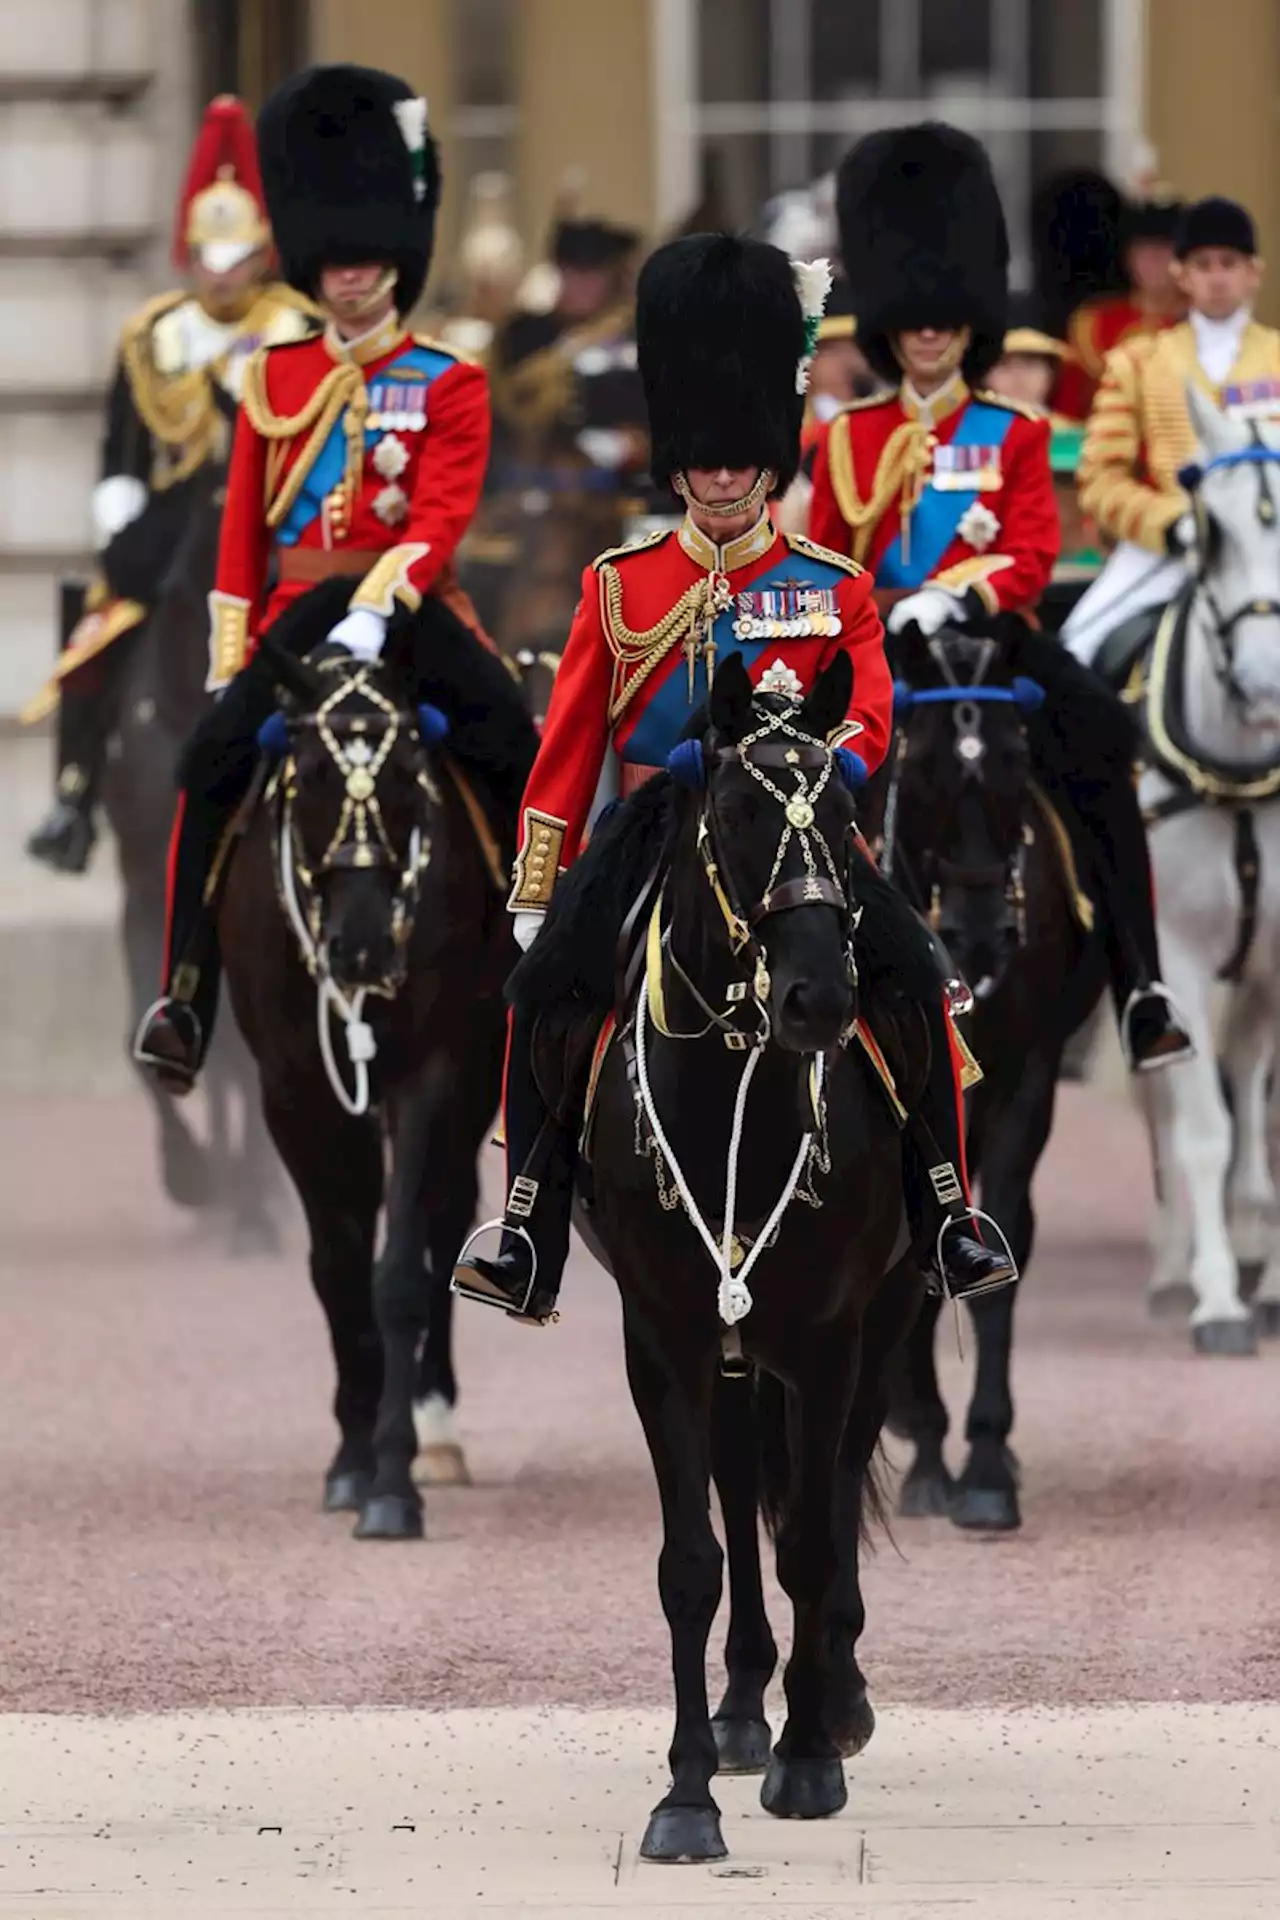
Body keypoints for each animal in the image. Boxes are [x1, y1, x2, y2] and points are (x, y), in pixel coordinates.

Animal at [214, 591, 529, 1536]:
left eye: (404, 775)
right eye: (312, 776)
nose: (358, 950)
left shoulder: (432, 1071)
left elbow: (395, 1273)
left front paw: (392, 1479)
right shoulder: (294, 1088)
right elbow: (338, 1266)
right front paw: (353, 1461)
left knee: (440, 1220)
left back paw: (435, 1429)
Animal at [575, 660, 924, 1858]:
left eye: (849, 809)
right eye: (732, 812)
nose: (819, 997)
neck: (734, 1077)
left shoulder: (828, 1338)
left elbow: (812, 1538)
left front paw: (810, 1759)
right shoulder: (663, 1338)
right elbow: (692, 1561)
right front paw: (686, 1796)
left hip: (880, 1322)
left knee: (831, 1491)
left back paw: (835, 1698)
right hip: (732, 1353)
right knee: (738, 1492)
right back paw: (739, 1709)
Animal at [875, 625, 1105, 1528]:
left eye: (1016, 755)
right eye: (925, 765)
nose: (979, 939)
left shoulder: (1022, 1080)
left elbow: (994, 1238)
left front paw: (980, 1463)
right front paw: (929, 1450)